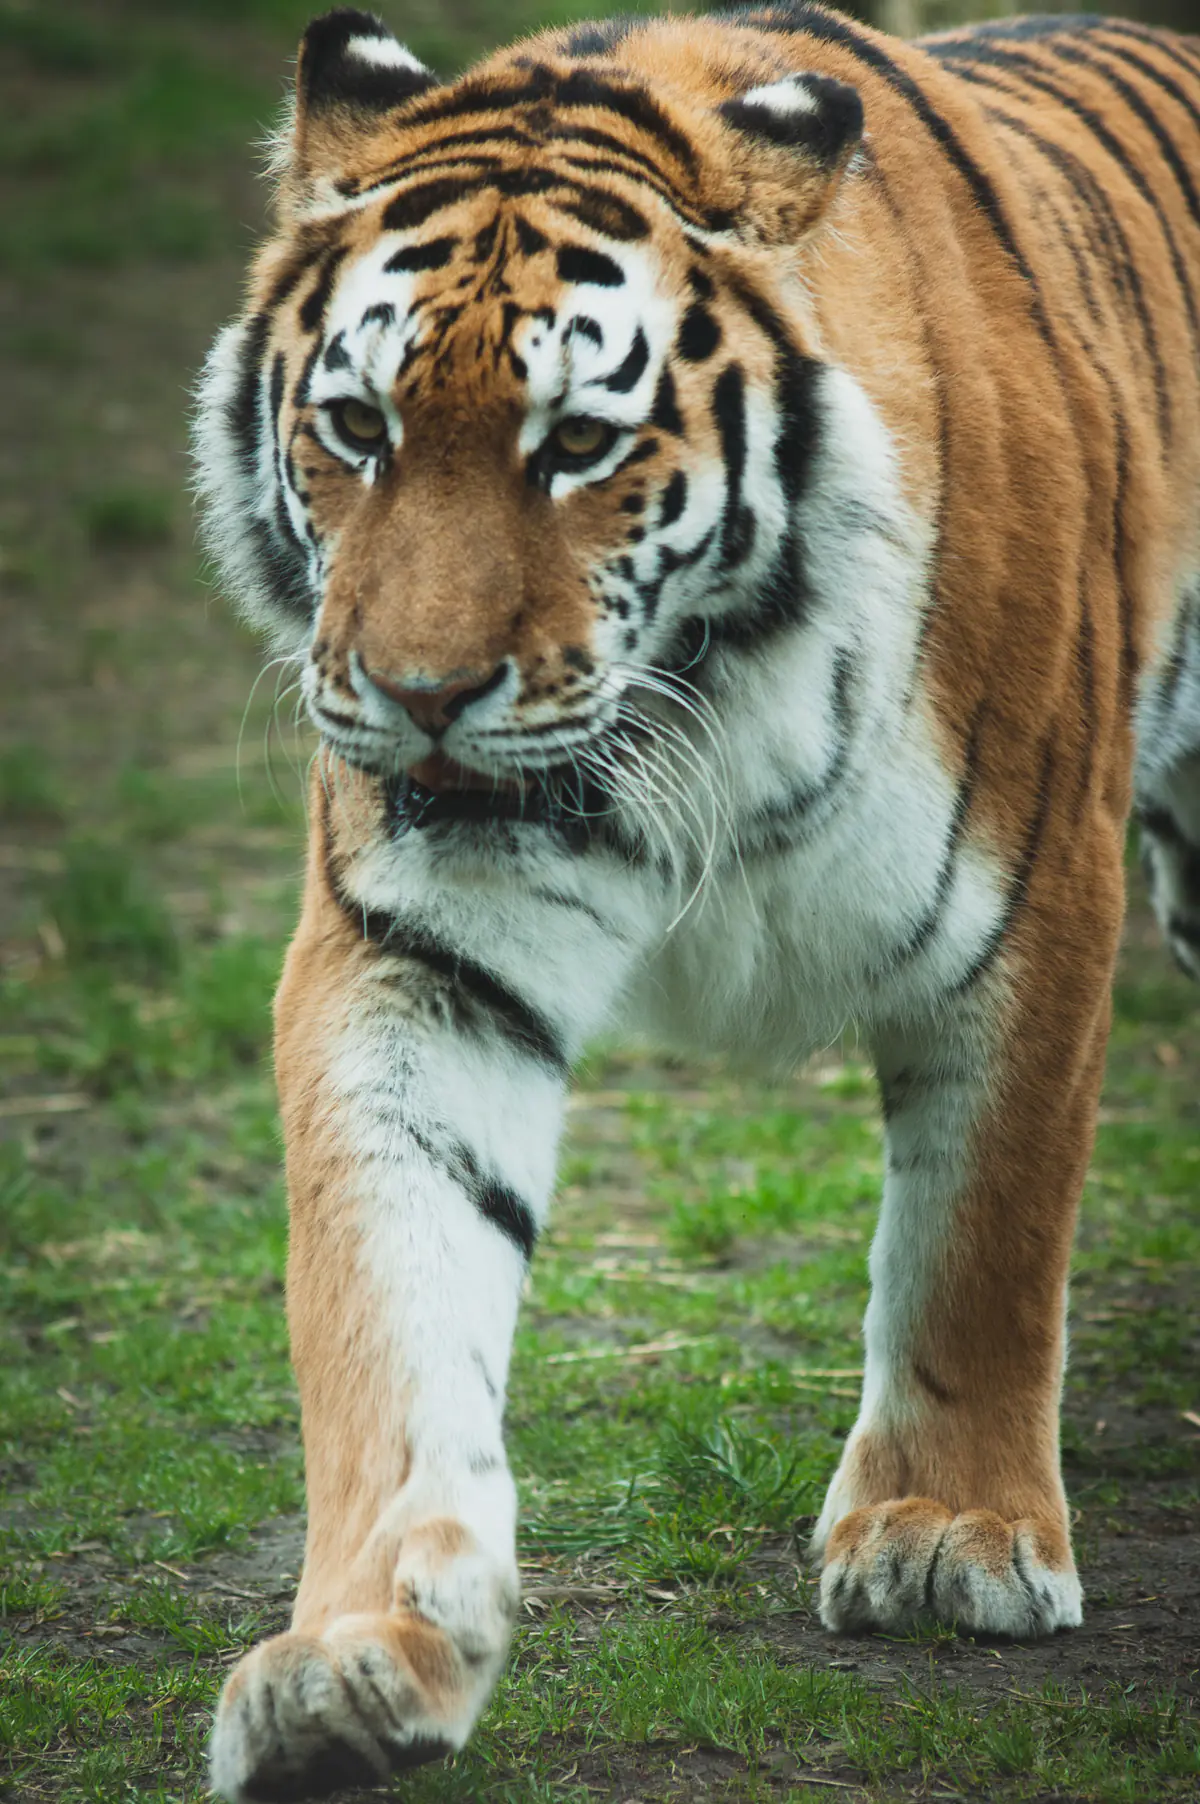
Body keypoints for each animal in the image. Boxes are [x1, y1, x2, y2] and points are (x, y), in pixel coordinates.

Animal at [193, 3, 1200, 1797]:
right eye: (361, 427)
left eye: (579, 444)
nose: (419, 695)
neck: (703, 696)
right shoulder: (418, 953)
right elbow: (389, 1294)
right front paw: (355, 1656)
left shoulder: (1037, 900)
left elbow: (984, 1234)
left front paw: (949, 1533)